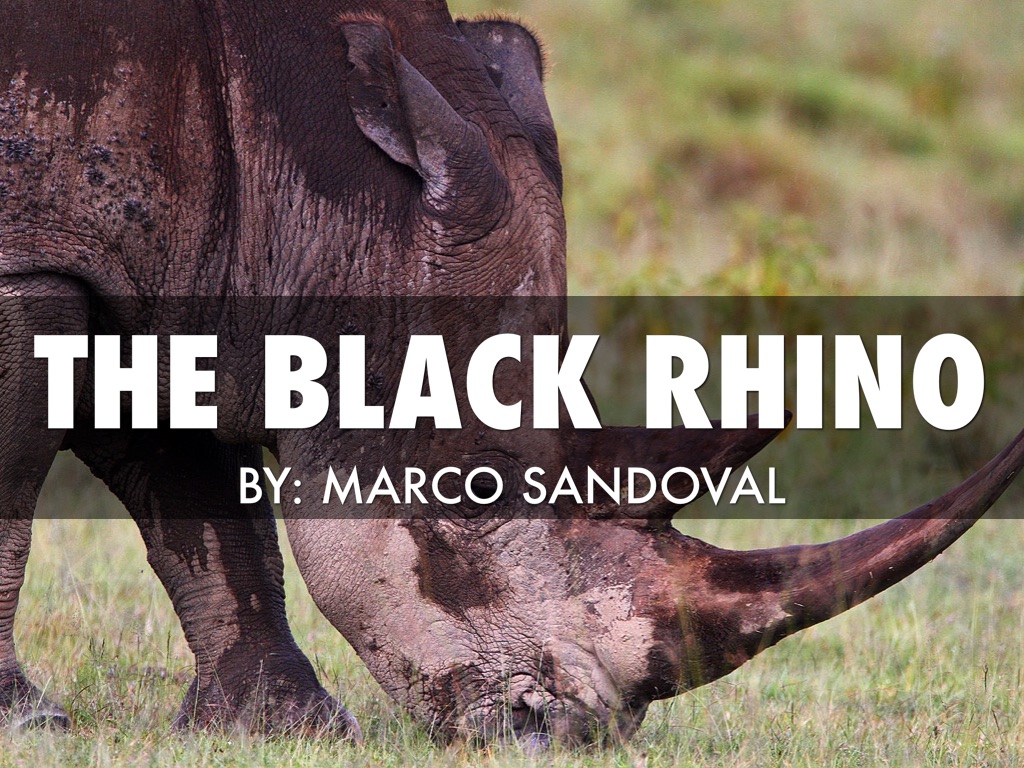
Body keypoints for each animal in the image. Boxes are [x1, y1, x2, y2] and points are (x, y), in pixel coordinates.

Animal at [1, 0, 1022, 747]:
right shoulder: (39, 257)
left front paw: (286, 726)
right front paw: (30, 719)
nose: (567, 735)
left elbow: (202, 497)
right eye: (478, 487)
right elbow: (21, 480)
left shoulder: (165, 265)